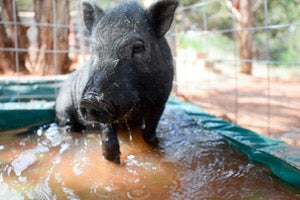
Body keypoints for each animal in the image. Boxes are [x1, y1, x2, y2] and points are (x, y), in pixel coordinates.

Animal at [55, 0, 178, 163]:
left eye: (137, 47)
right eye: (94, 50)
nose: (91, 100)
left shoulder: (161, 100)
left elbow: (150, 132)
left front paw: (155, 146)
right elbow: (107, 133)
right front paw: (112, 160)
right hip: (63, 111)